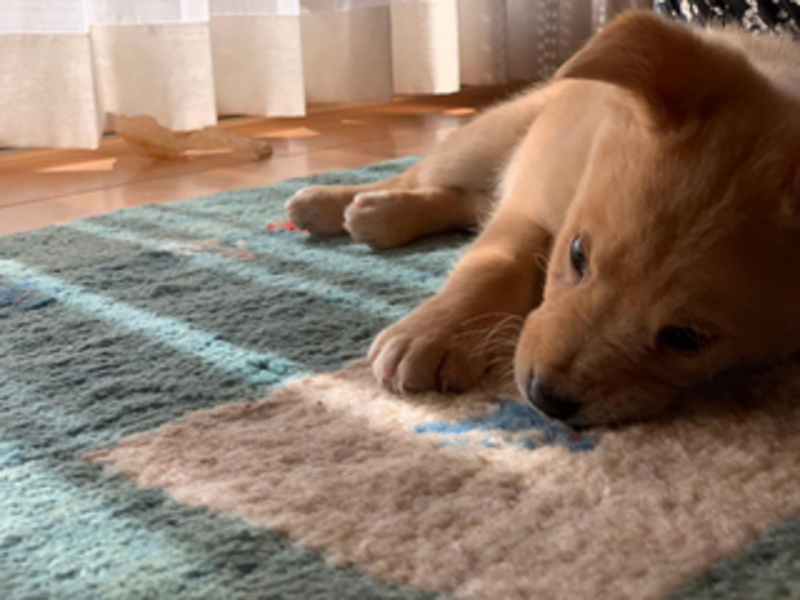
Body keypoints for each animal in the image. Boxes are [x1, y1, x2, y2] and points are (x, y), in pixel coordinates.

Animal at [285, 11, 800, 427]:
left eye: (686, 339)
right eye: (577, 255)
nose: (543, 398)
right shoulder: (534, 201)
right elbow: (491, 265)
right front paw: (432, 334)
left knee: (469, 199)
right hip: (497, 131)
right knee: (426, 175)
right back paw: (339, 204)